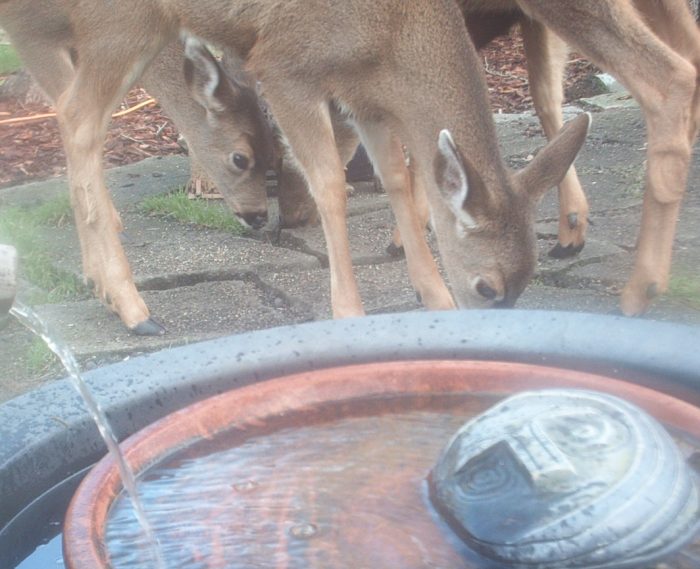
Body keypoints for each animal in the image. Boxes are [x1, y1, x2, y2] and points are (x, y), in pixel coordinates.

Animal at [0, 0, 589, 333]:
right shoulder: (287, 66)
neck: (390, 36)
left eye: (525, 283)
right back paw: (131, 305)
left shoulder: (365, 94)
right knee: (77, 115)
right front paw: (348, 313)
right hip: (116, 20)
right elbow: (329, 183)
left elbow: (398, 178)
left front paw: (434, 298)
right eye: (487, 287)